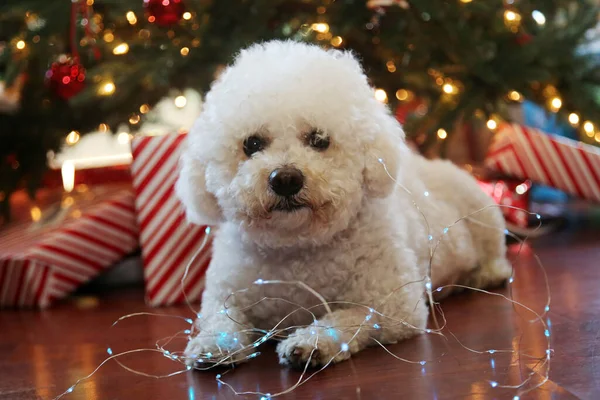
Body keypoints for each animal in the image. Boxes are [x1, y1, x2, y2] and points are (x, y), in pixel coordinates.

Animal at [175, 40, 510, 368]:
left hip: (482, 213)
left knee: (496, 254)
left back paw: (486, 274)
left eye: (319, 139)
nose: (285, 179)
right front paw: (213, 344)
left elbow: (348, 317)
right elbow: (221, 319)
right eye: (251, 144)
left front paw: (311, 342)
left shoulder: (394, 305)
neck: (298, 251)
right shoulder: (224, 295)